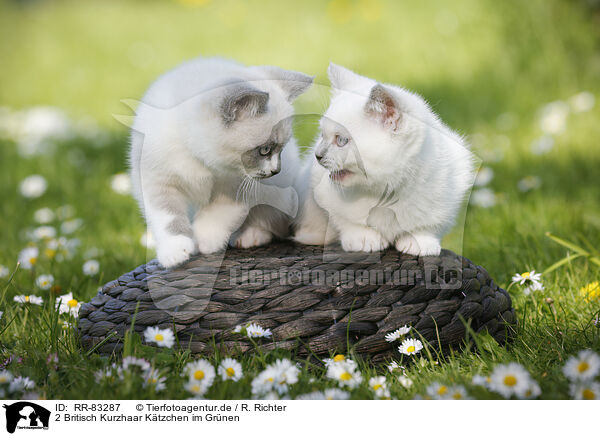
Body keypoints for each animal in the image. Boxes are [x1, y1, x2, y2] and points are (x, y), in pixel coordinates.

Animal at [128, 56, 312, 268]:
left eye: (281, 148)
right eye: (264, 150)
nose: (276, 170)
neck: (199, 158)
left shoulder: (236, 188)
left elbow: (216, 215)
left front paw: (205, 242)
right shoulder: (157, 180)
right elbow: (168, 217)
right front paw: (175, 251)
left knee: (270, 219)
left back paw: (249, 236)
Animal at [294, 63, 474, 258]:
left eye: (341, 140)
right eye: (322, 135)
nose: (318, 155)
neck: (386, 191)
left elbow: (429, 224)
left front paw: (420, 240)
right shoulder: (322, 191)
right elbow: (345, 220)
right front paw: (363, 238)